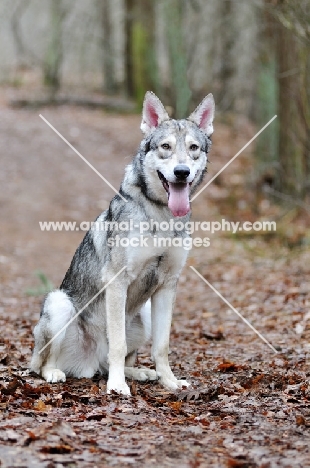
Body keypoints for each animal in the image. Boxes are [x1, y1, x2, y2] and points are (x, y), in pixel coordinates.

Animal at [31, 90, 216, 394]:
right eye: (165, 146)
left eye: (193, 148)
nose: (181, 172)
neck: (162, 215)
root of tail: (89, 365)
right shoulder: (117, 280)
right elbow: (117, 344)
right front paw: (117, 387)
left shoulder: (167, 285)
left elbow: (161, 347)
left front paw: (169, 381)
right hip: (59, 303)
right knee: (44, 363)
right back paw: (57, 373)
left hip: (147, 314)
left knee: (115, 361)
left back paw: (140, 373)